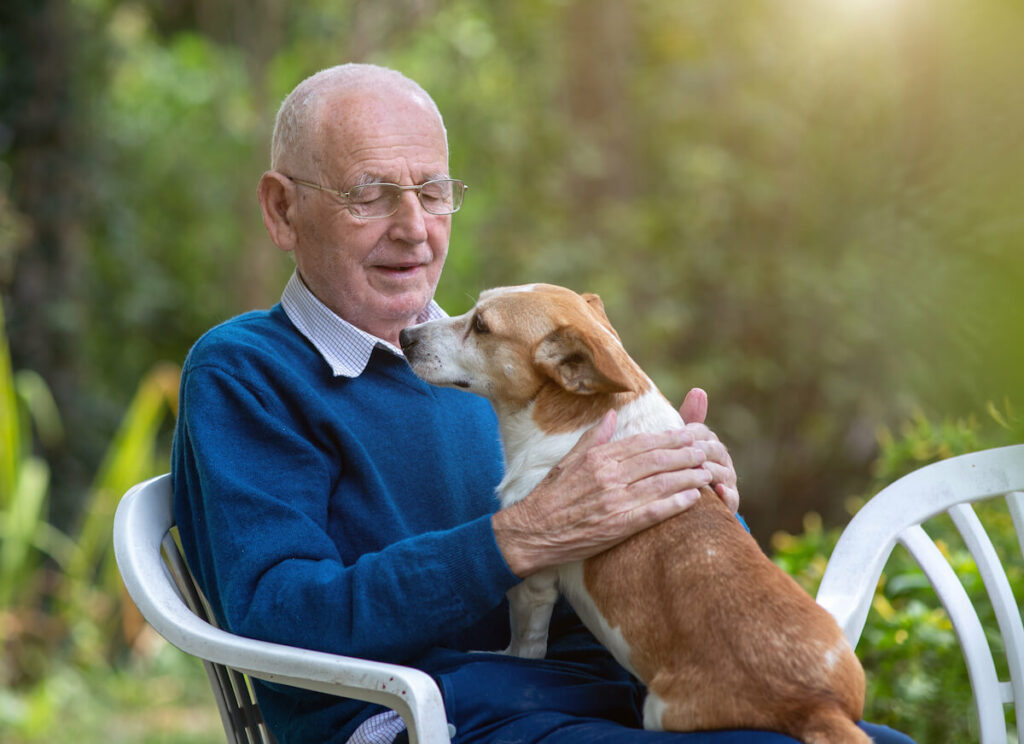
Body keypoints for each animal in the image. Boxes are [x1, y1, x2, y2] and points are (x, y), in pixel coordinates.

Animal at [397, 284, 864, 740]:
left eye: (481, 326)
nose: (404, 336)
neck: (576, 417)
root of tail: (819, 707)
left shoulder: (535, 584)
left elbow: (526, 645)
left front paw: (508, 655)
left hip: (659, 711)